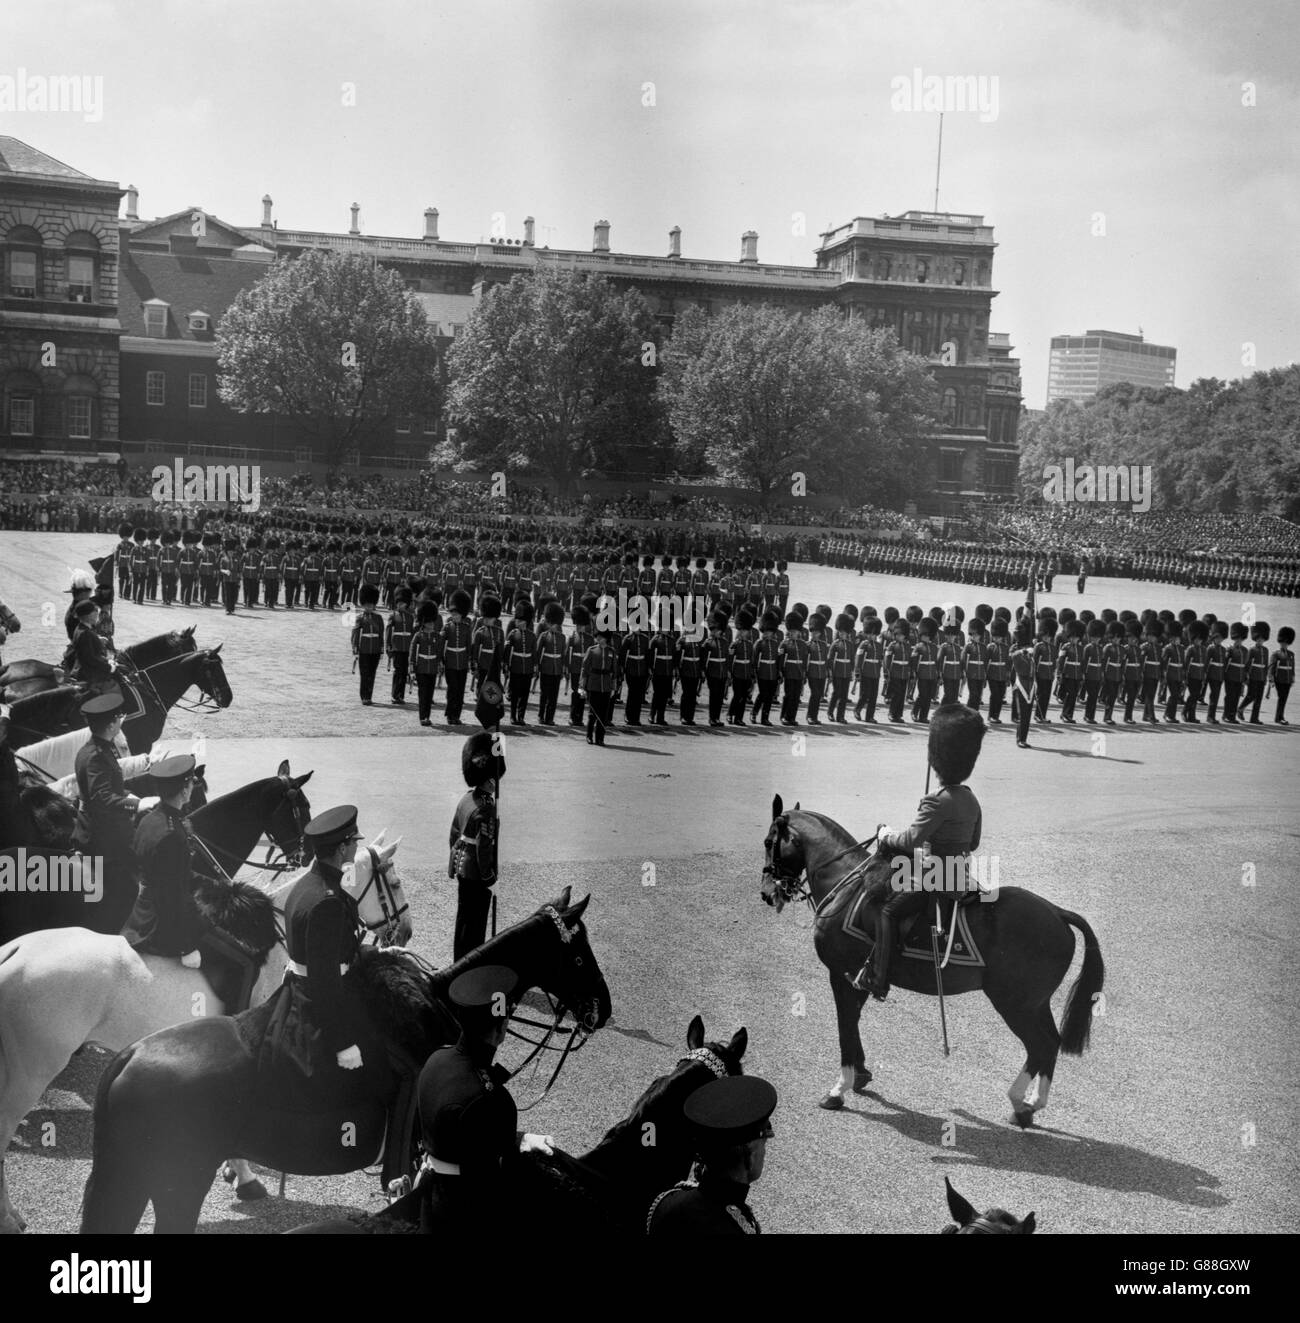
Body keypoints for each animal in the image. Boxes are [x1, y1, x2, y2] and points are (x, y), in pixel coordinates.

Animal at [0, 830, 412, 1233]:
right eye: (393, 882)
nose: (405, 932)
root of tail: (16, 949)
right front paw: (245, 1177)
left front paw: (236, 1171)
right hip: (34, 1071)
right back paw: (10, 1215)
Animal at [756, 793, 1105, 1127]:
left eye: (769, 842)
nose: (767, 892)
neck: (845, 886)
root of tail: (1057, 912)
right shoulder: (856, 978)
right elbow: (853, 1025)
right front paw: (861, 1074)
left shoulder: (841, 975)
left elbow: (845, 1028)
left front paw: (839, 1088)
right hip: (1034, 1004)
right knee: (1051, 1043)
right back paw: (1032, 1104)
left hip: (1015, 1004)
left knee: (1040, 1045)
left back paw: (1019, 1102)